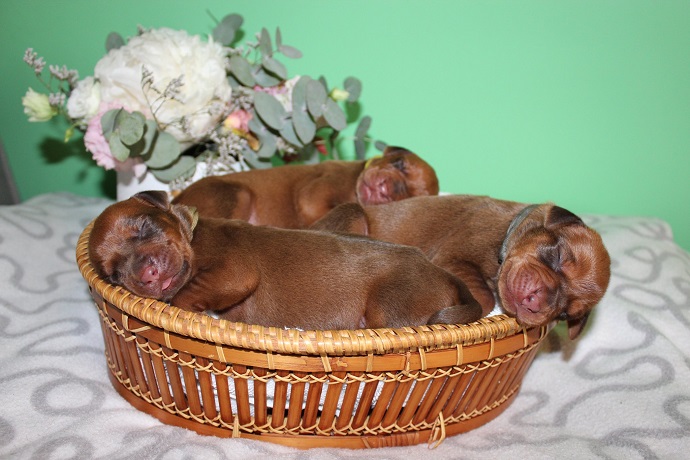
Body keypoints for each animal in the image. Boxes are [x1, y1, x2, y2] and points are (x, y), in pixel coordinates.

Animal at [88, 190, 482, 330]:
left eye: (143, 227)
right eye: (114, 274)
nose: (147, 274)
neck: (194, 236)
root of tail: (441, 274)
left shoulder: (235, 271)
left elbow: (187, 294)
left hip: (391, 308)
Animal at [310, 194, 608, 338]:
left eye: (565, 314)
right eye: (557, 255)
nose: (535, 302)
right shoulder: (453, 257)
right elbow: (485, 298)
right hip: (354, 214)